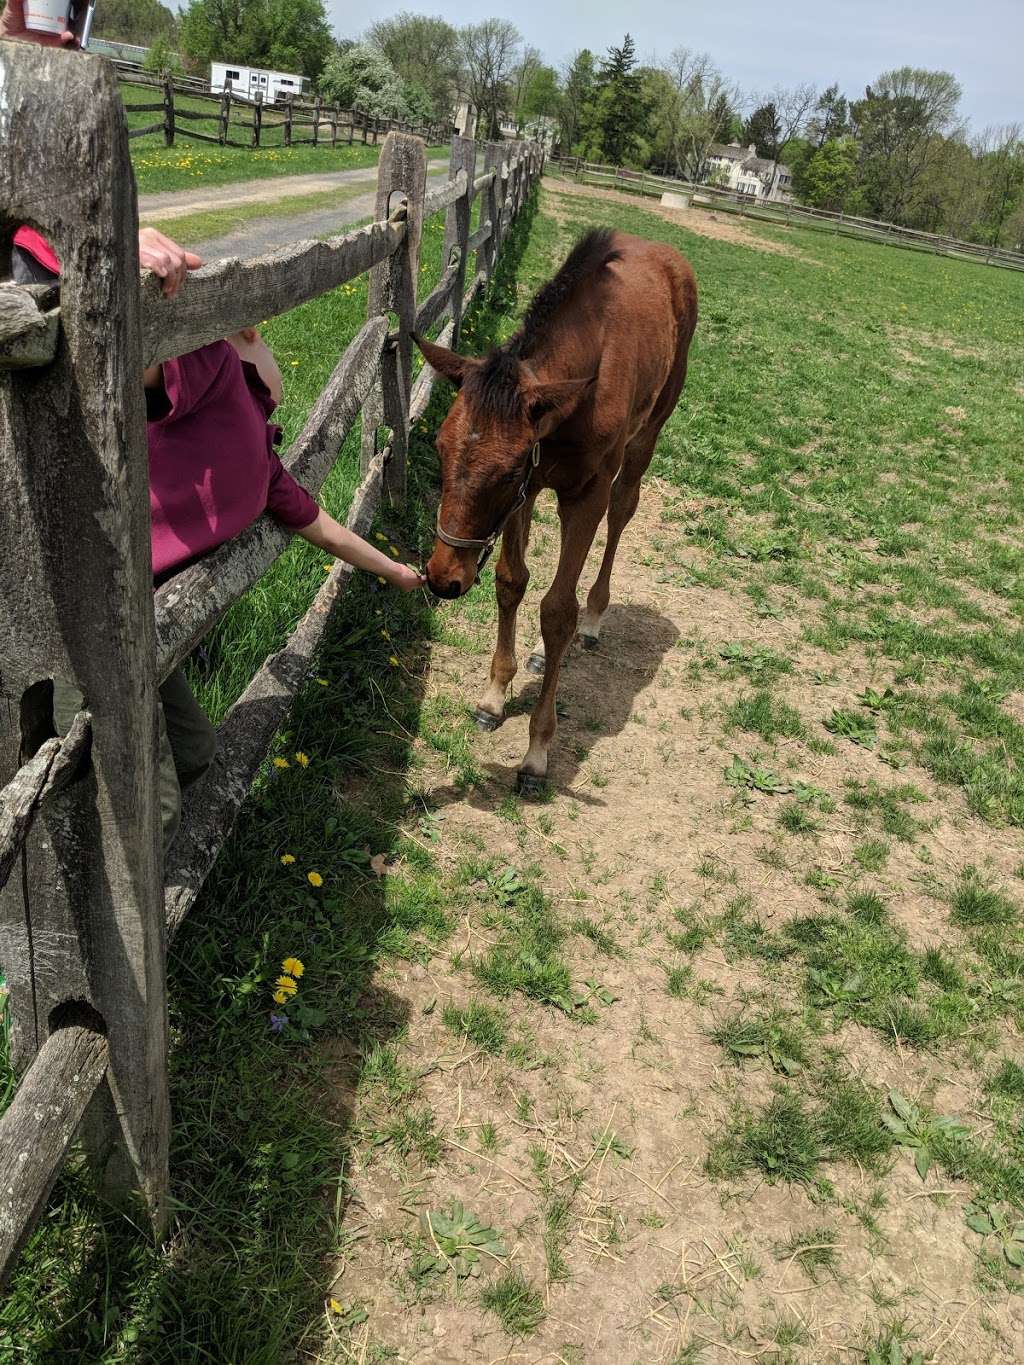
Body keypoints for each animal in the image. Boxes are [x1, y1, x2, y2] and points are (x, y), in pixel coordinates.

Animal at [415, 229, 699, 797]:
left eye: (506, 470)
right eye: (437, 446)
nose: (443, 578)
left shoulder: (577, 492)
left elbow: (557, 610)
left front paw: (536, 753)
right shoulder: (532, 487)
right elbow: (510, 580)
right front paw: (493, 695)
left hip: (646, 438)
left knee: (623, 512)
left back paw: (594, 618)